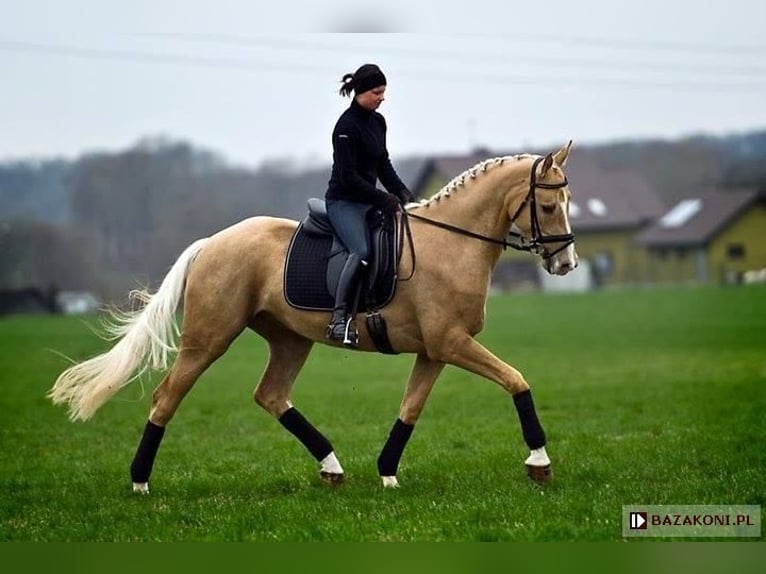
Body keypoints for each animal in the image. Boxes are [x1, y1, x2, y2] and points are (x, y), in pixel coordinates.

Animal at [48, 141, 580, 496]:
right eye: (548, 205)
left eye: (567, 202)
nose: (567, 264)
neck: (453, 243)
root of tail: (212, 243)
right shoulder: (451, 343)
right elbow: (516, 380)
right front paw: (539, 462)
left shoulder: (435, 350)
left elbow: (410, 409)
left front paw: (387, 471)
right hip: (209, 339)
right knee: (166, 398)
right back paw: (140, 483)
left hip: (290, 339)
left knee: (271, 395)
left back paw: (332, 466)